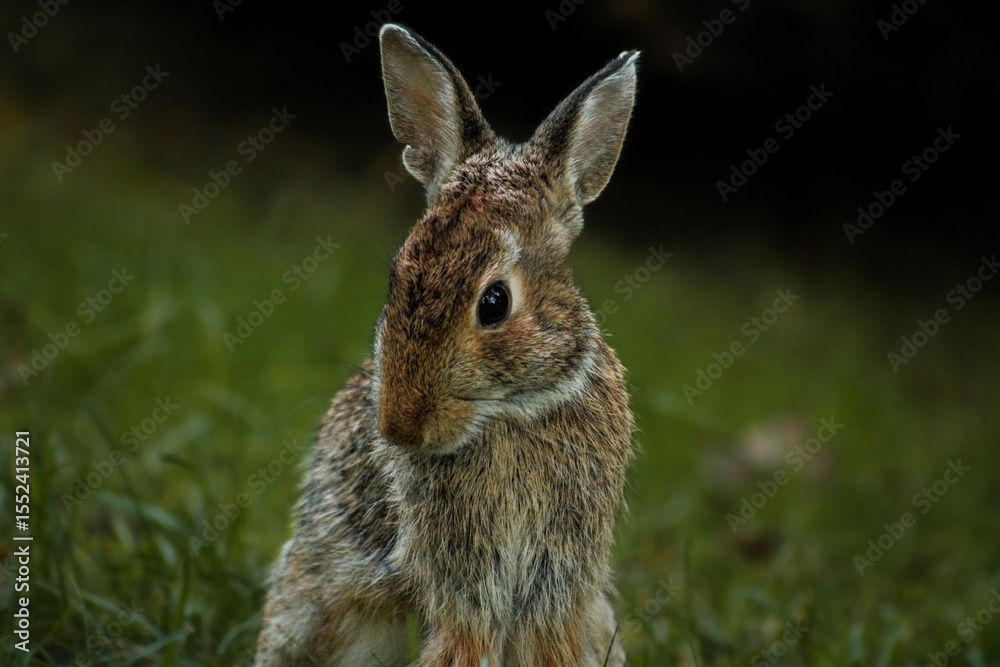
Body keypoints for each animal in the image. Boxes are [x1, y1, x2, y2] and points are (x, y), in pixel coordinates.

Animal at [255, 23, 639, 667]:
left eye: (494, 302)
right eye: (397, 277)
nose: (400, 428)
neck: (513, 412)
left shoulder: (558, 573)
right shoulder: (462, 574)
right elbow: (465, 640)